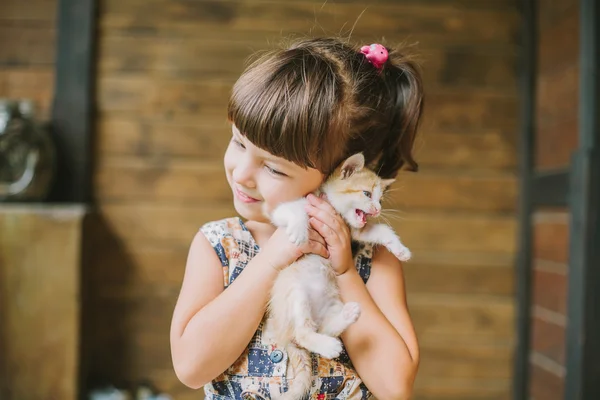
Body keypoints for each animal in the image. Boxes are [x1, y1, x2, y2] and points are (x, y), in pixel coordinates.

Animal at [264, 153, 410, 400]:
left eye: (380, 200)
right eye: (367, 194)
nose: (377, 210)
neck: (335, 209)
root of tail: (283, 334)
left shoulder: (357, 229)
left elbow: (382, 231)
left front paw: (400, 250)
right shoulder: (293, 206)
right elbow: (293, 212)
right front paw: (299, 232)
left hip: (331, 304)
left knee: (319, 328)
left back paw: (346, 318)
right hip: (295, 291)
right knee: (303, 332)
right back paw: (329, 345)